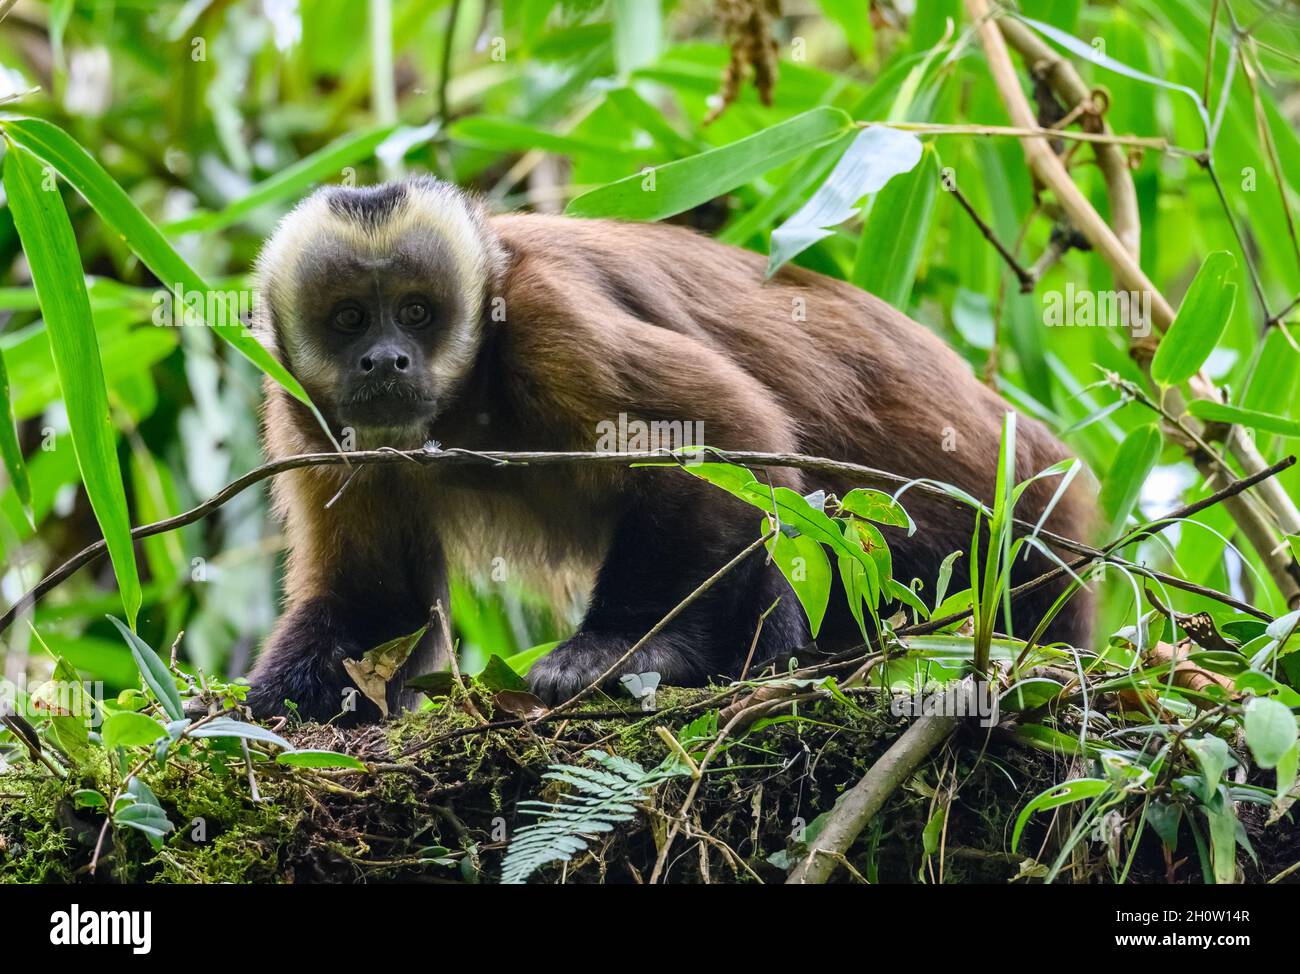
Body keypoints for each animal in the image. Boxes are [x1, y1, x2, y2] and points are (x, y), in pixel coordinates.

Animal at [244, 176, 1094, 723]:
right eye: (351, 318)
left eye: (418, 312)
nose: (386, 360)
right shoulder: (303, 415)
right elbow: (377, 599)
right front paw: (279, 704)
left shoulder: (548, 319)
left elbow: (726, 436)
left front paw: (631, 648)